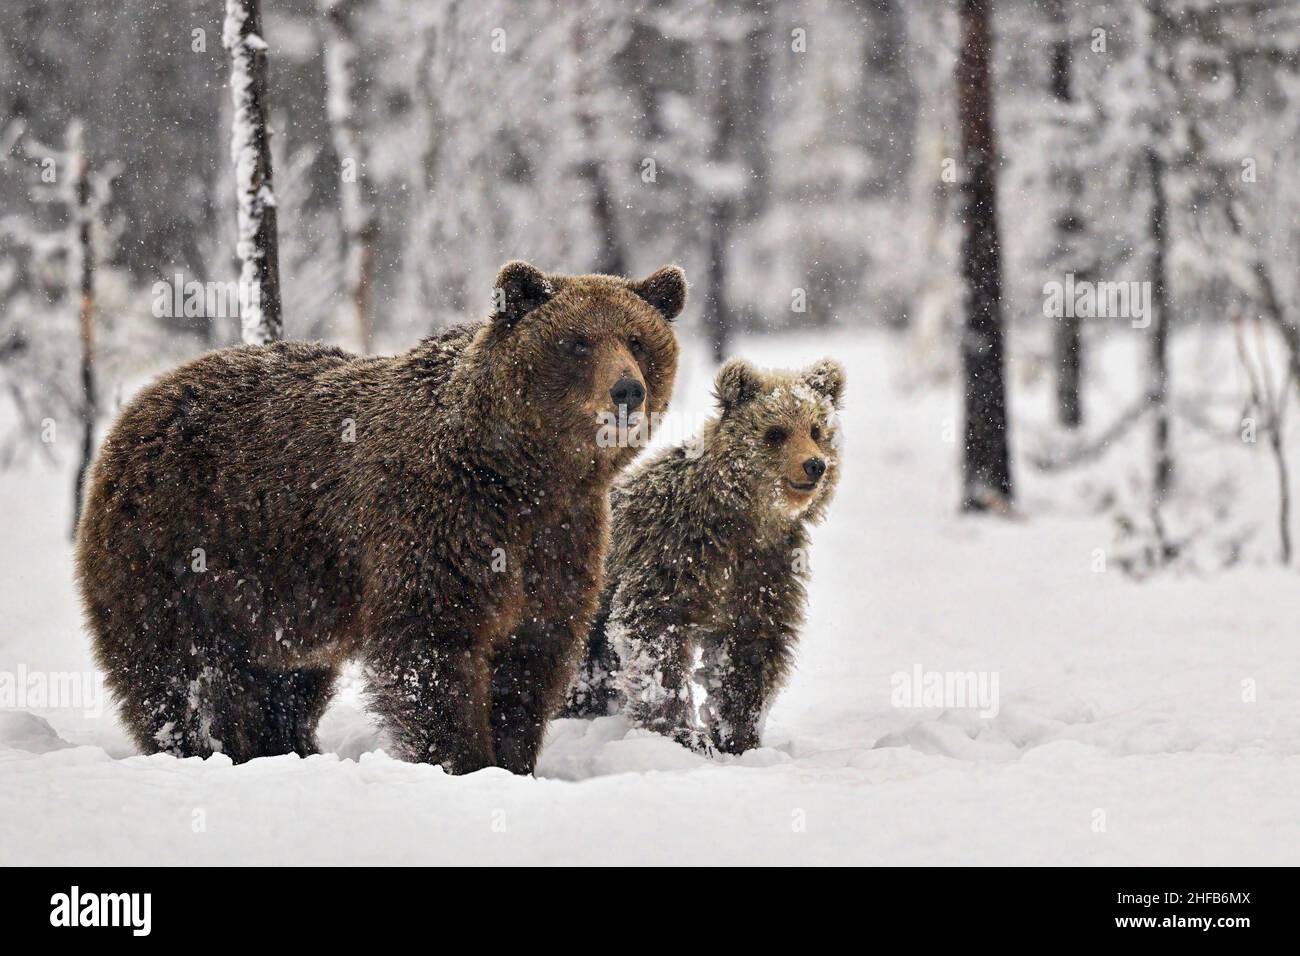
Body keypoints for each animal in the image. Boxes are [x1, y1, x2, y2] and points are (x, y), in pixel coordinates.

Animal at [75, 260, 685, 774]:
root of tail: (141, 403)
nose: (628, 390)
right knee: (178, 673)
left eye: (637, 338)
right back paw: (202, 749)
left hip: (279, 594)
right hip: (178, 548)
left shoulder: (559, 541)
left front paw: (515, 761)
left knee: (286, 681)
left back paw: (289, 747)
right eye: (577, 342)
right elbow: (433, 650)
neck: (522, 478)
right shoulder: (440, 524)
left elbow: (532, 656)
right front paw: (465, 760)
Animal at [563, 357, 845, 755]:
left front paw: (737, 736)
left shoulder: (765, 575)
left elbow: (753, 651)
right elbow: (656, 642)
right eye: (776, 433)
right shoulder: (671, 554)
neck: (742, 522)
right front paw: (680, 733)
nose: (814, 465)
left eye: (816, 429)